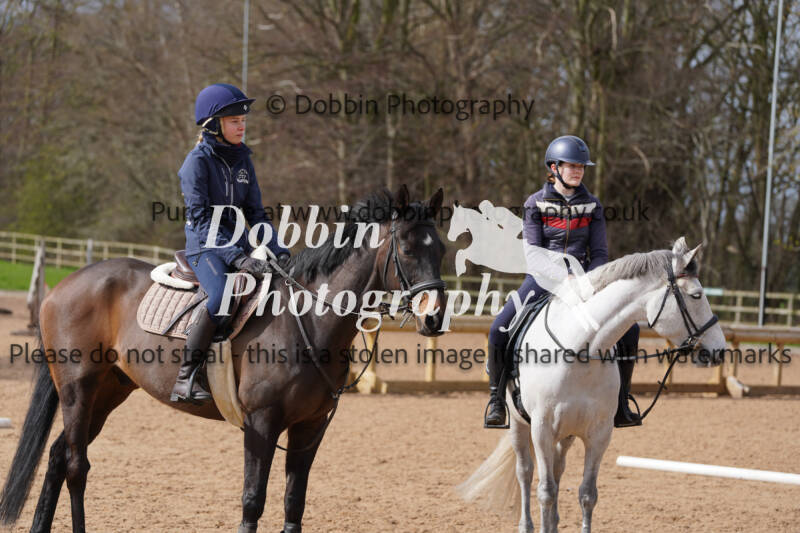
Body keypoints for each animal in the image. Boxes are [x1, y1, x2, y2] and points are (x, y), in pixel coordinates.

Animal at [0, 186, 447, 533]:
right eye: (407, 249)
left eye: (441, 248)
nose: (435, 317)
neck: (304, 319)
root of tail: (67, 283)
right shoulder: (261, 423)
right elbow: (253, 500)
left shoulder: (309, 428)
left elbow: (294, 503)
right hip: (78, 389)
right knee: (76, 466)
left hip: (108, 393)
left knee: (58, 457)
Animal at [458, 238, 726, 533]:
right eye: (697, 295)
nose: (719, 349)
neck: (579, 349)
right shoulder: (541, 429)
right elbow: (545, 491)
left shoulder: (599, 434)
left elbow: (587, 494)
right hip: (519, 425)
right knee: (525, 472)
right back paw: (527, 524)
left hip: (566, 433)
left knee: (557, 470)